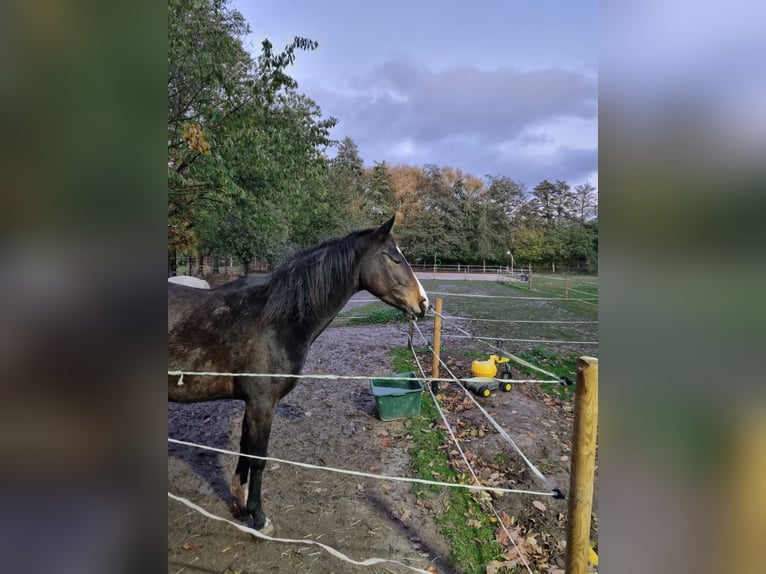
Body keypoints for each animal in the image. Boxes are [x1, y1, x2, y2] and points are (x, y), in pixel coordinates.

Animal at [168, 216, 428, 533]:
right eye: (394, 258)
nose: (423, 303)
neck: (275, 319)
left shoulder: (253, 403)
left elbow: (245, 448)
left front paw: (240, 502)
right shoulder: (262, 403)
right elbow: (258, 457)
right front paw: (259, 517)